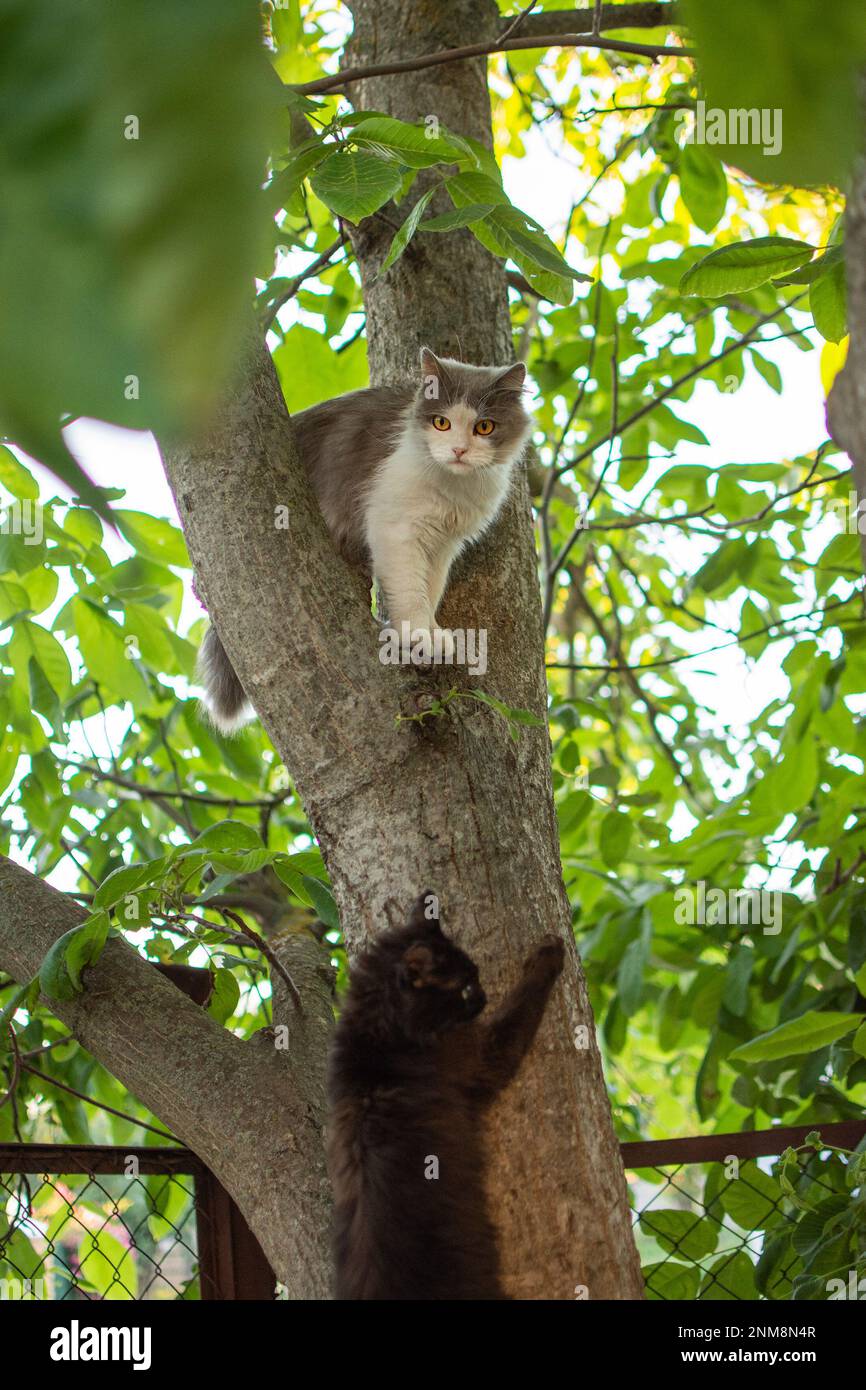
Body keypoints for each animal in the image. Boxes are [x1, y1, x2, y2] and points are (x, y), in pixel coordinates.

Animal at [200, 347, 530, 733]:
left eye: (484, 427)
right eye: (441, 423)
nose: (459, 451)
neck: (455, 485)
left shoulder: (443, 543)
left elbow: (431, 589)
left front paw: (433, 630)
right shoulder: (396, 527)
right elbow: (411, 593)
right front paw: (419, 635)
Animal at [328, 895, 567, 1295]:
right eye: (466, 987)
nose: (484, 996)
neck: (378, 1035)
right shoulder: (486, 1054)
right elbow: (522, 1002)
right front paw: (548, 954)